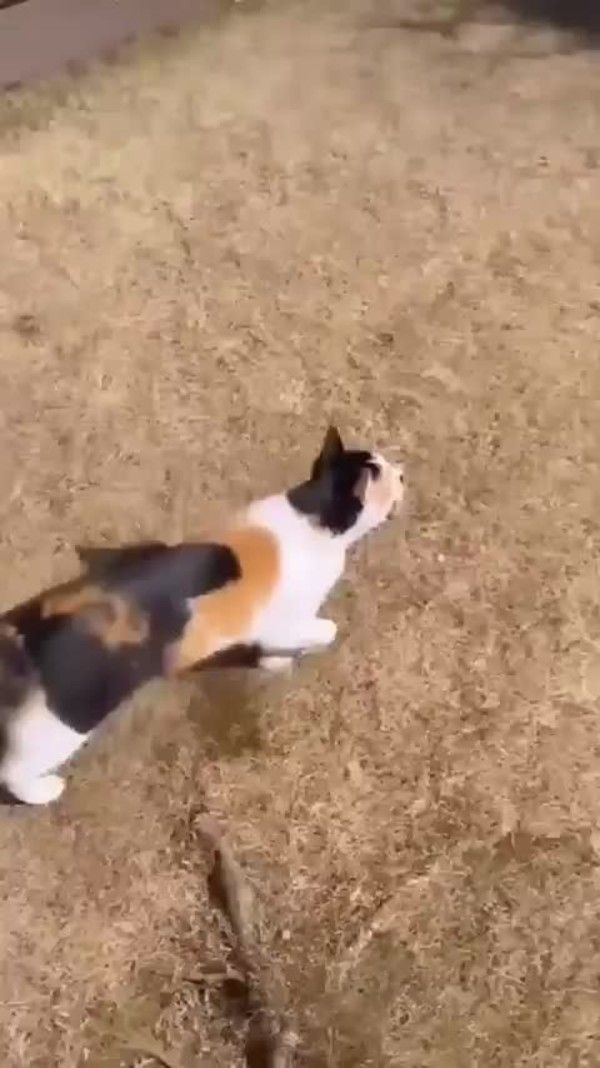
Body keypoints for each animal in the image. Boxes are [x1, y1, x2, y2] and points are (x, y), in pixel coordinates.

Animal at [0, 426, 404, 805]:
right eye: (382, 475)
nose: (402, 472)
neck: (309, 510)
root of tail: (32, 630)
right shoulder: (282, 622)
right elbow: (322, 630)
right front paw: (290, 656)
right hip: (66, 719)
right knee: (14, 770)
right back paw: (44, 790)